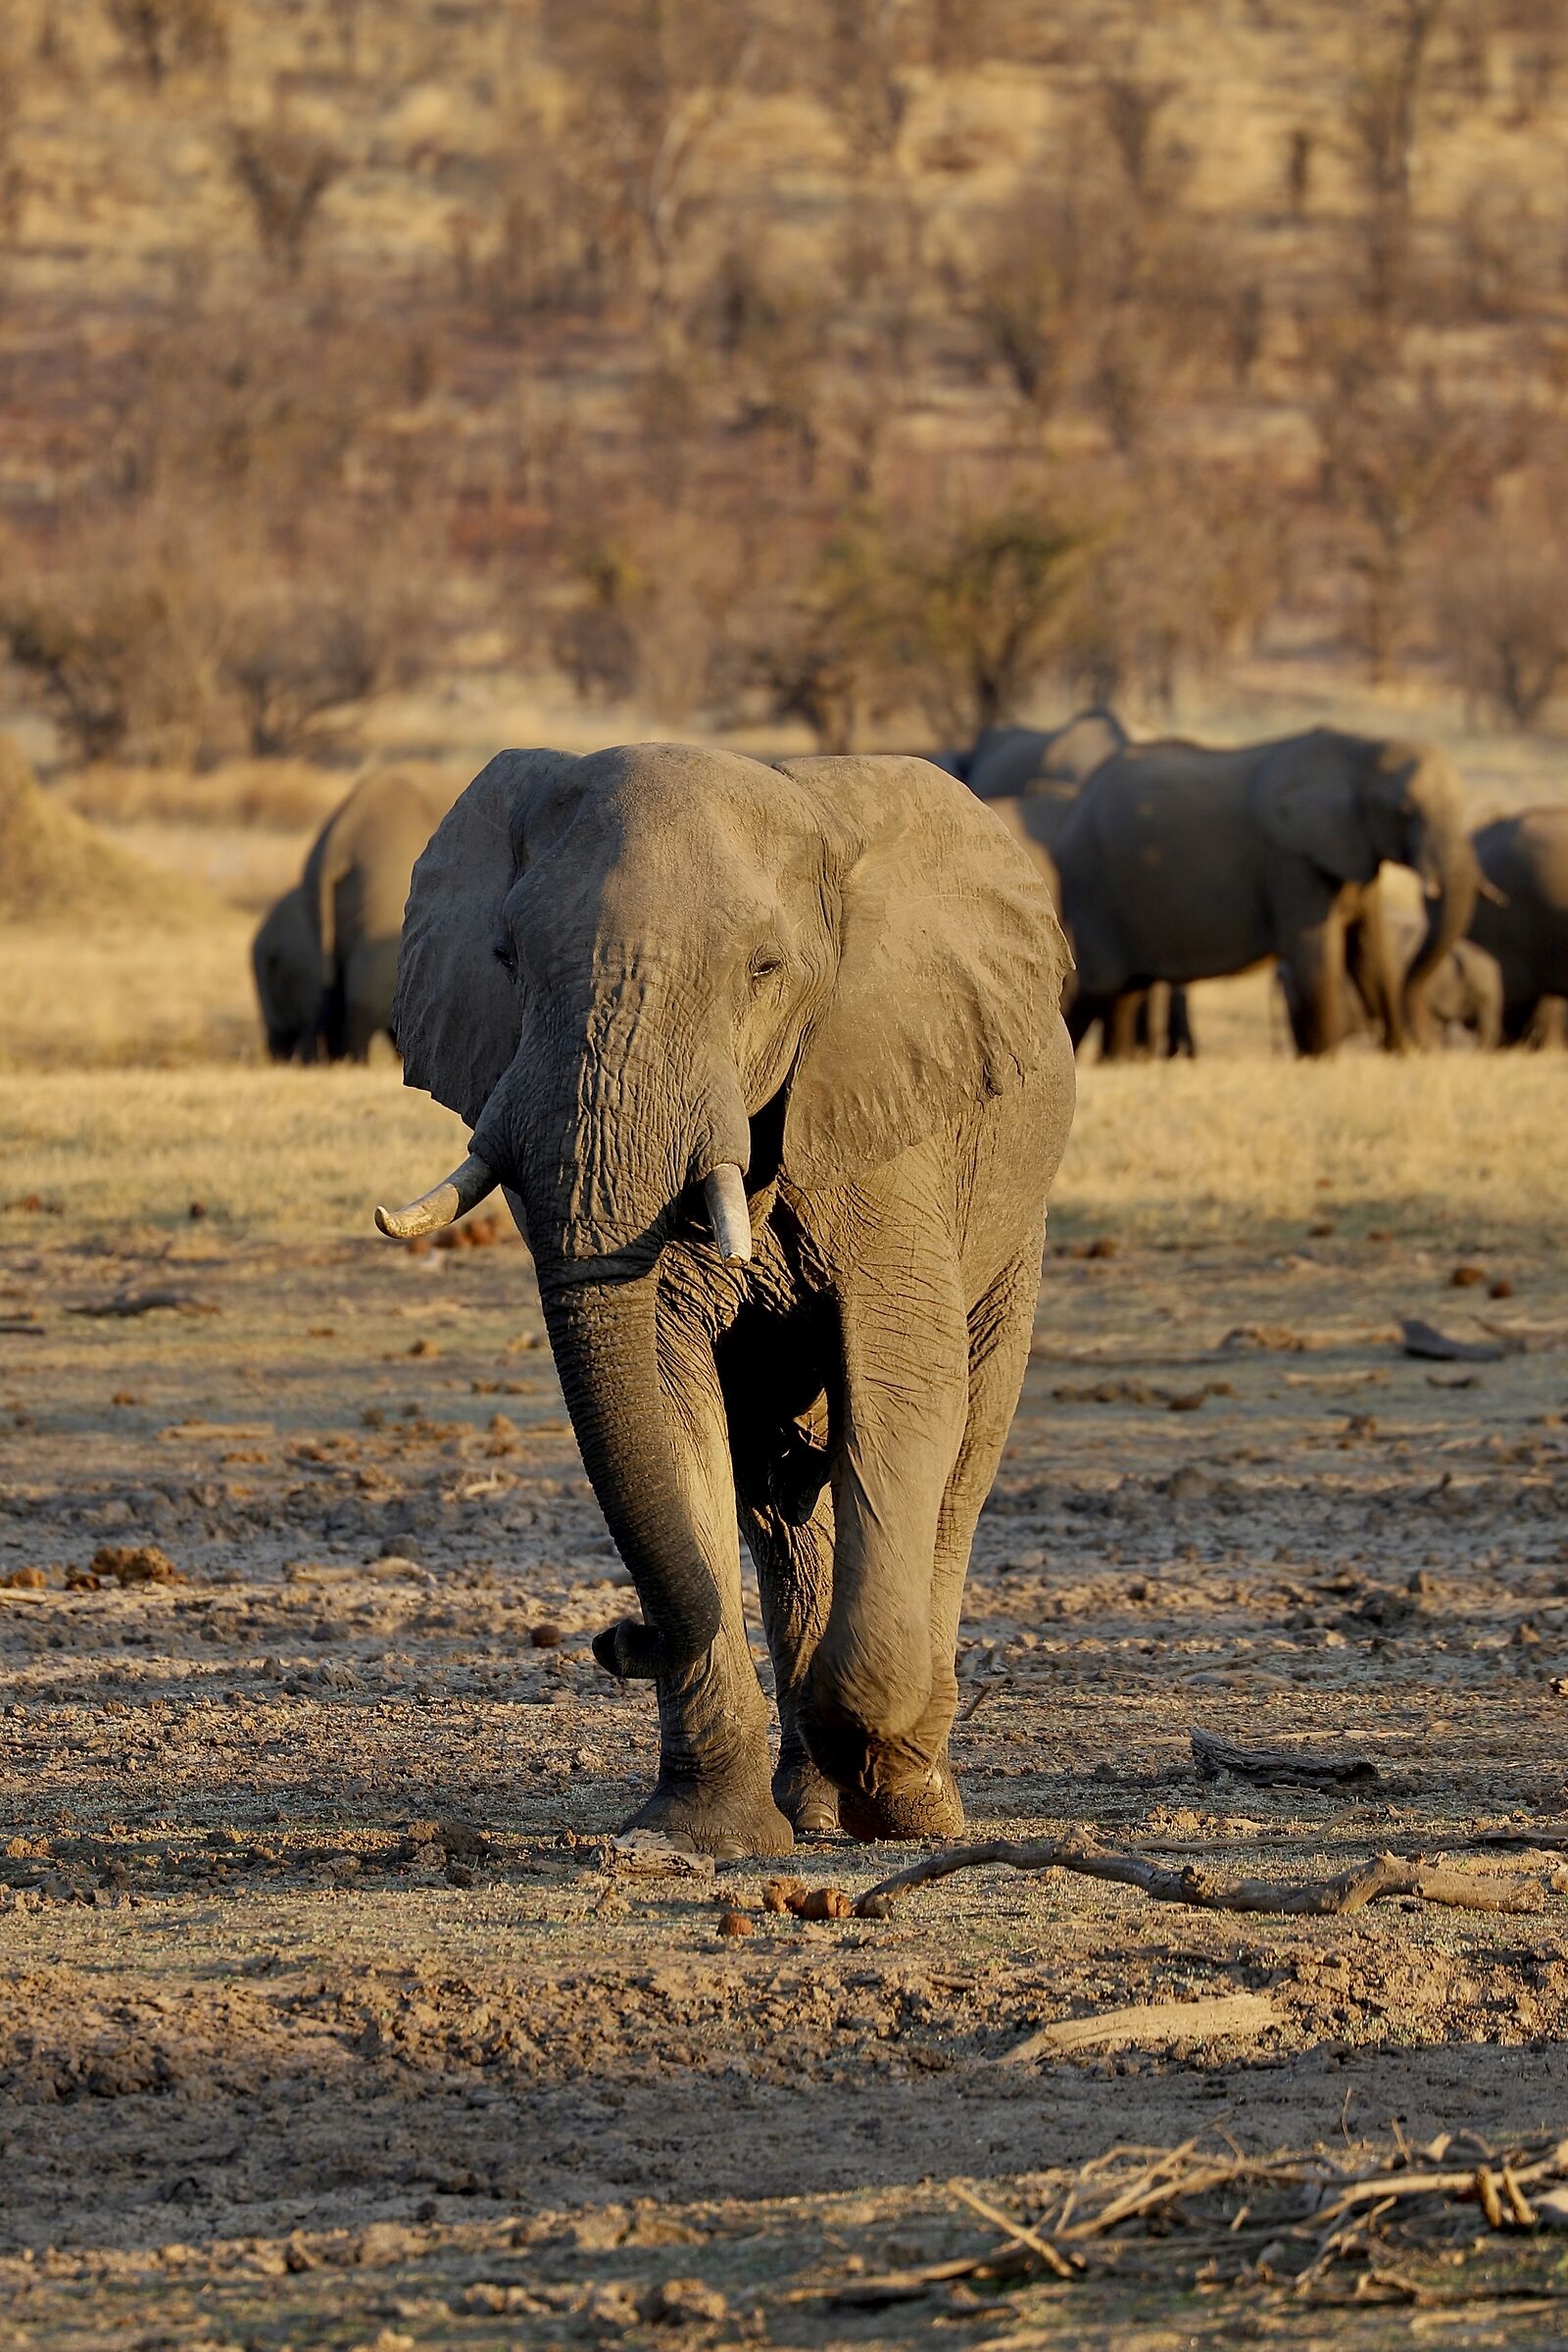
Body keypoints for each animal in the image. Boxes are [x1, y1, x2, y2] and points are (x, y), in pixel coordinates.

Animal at [375, 743, 1075, 1857]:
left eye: (763, 970)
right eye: (507, 958)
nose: (617, 1638)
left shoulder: (887, 1121)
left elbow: (905, 1388)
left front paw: (875, 1764)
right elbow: (670, 1398)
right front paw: (704, 1836)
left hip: (1017, 1216)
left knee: (961, 1453)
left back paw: (914, 1797)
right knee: (778, 1494)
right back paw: (816, 1799)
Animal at [1054, 729, 1478, 1056]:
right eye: (1405, 811)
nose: (1427, 1041)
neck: (1362, 749)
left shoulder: (1353, 850)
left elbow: (1371, 955)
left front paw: (1400, 1055)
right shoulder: (1291, 861)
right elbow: (1318, 955)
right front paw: (1325, 1062)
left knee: (1125, 992)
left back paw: (1116, 1062)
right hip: (1093, 884)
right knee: (1102, 985)